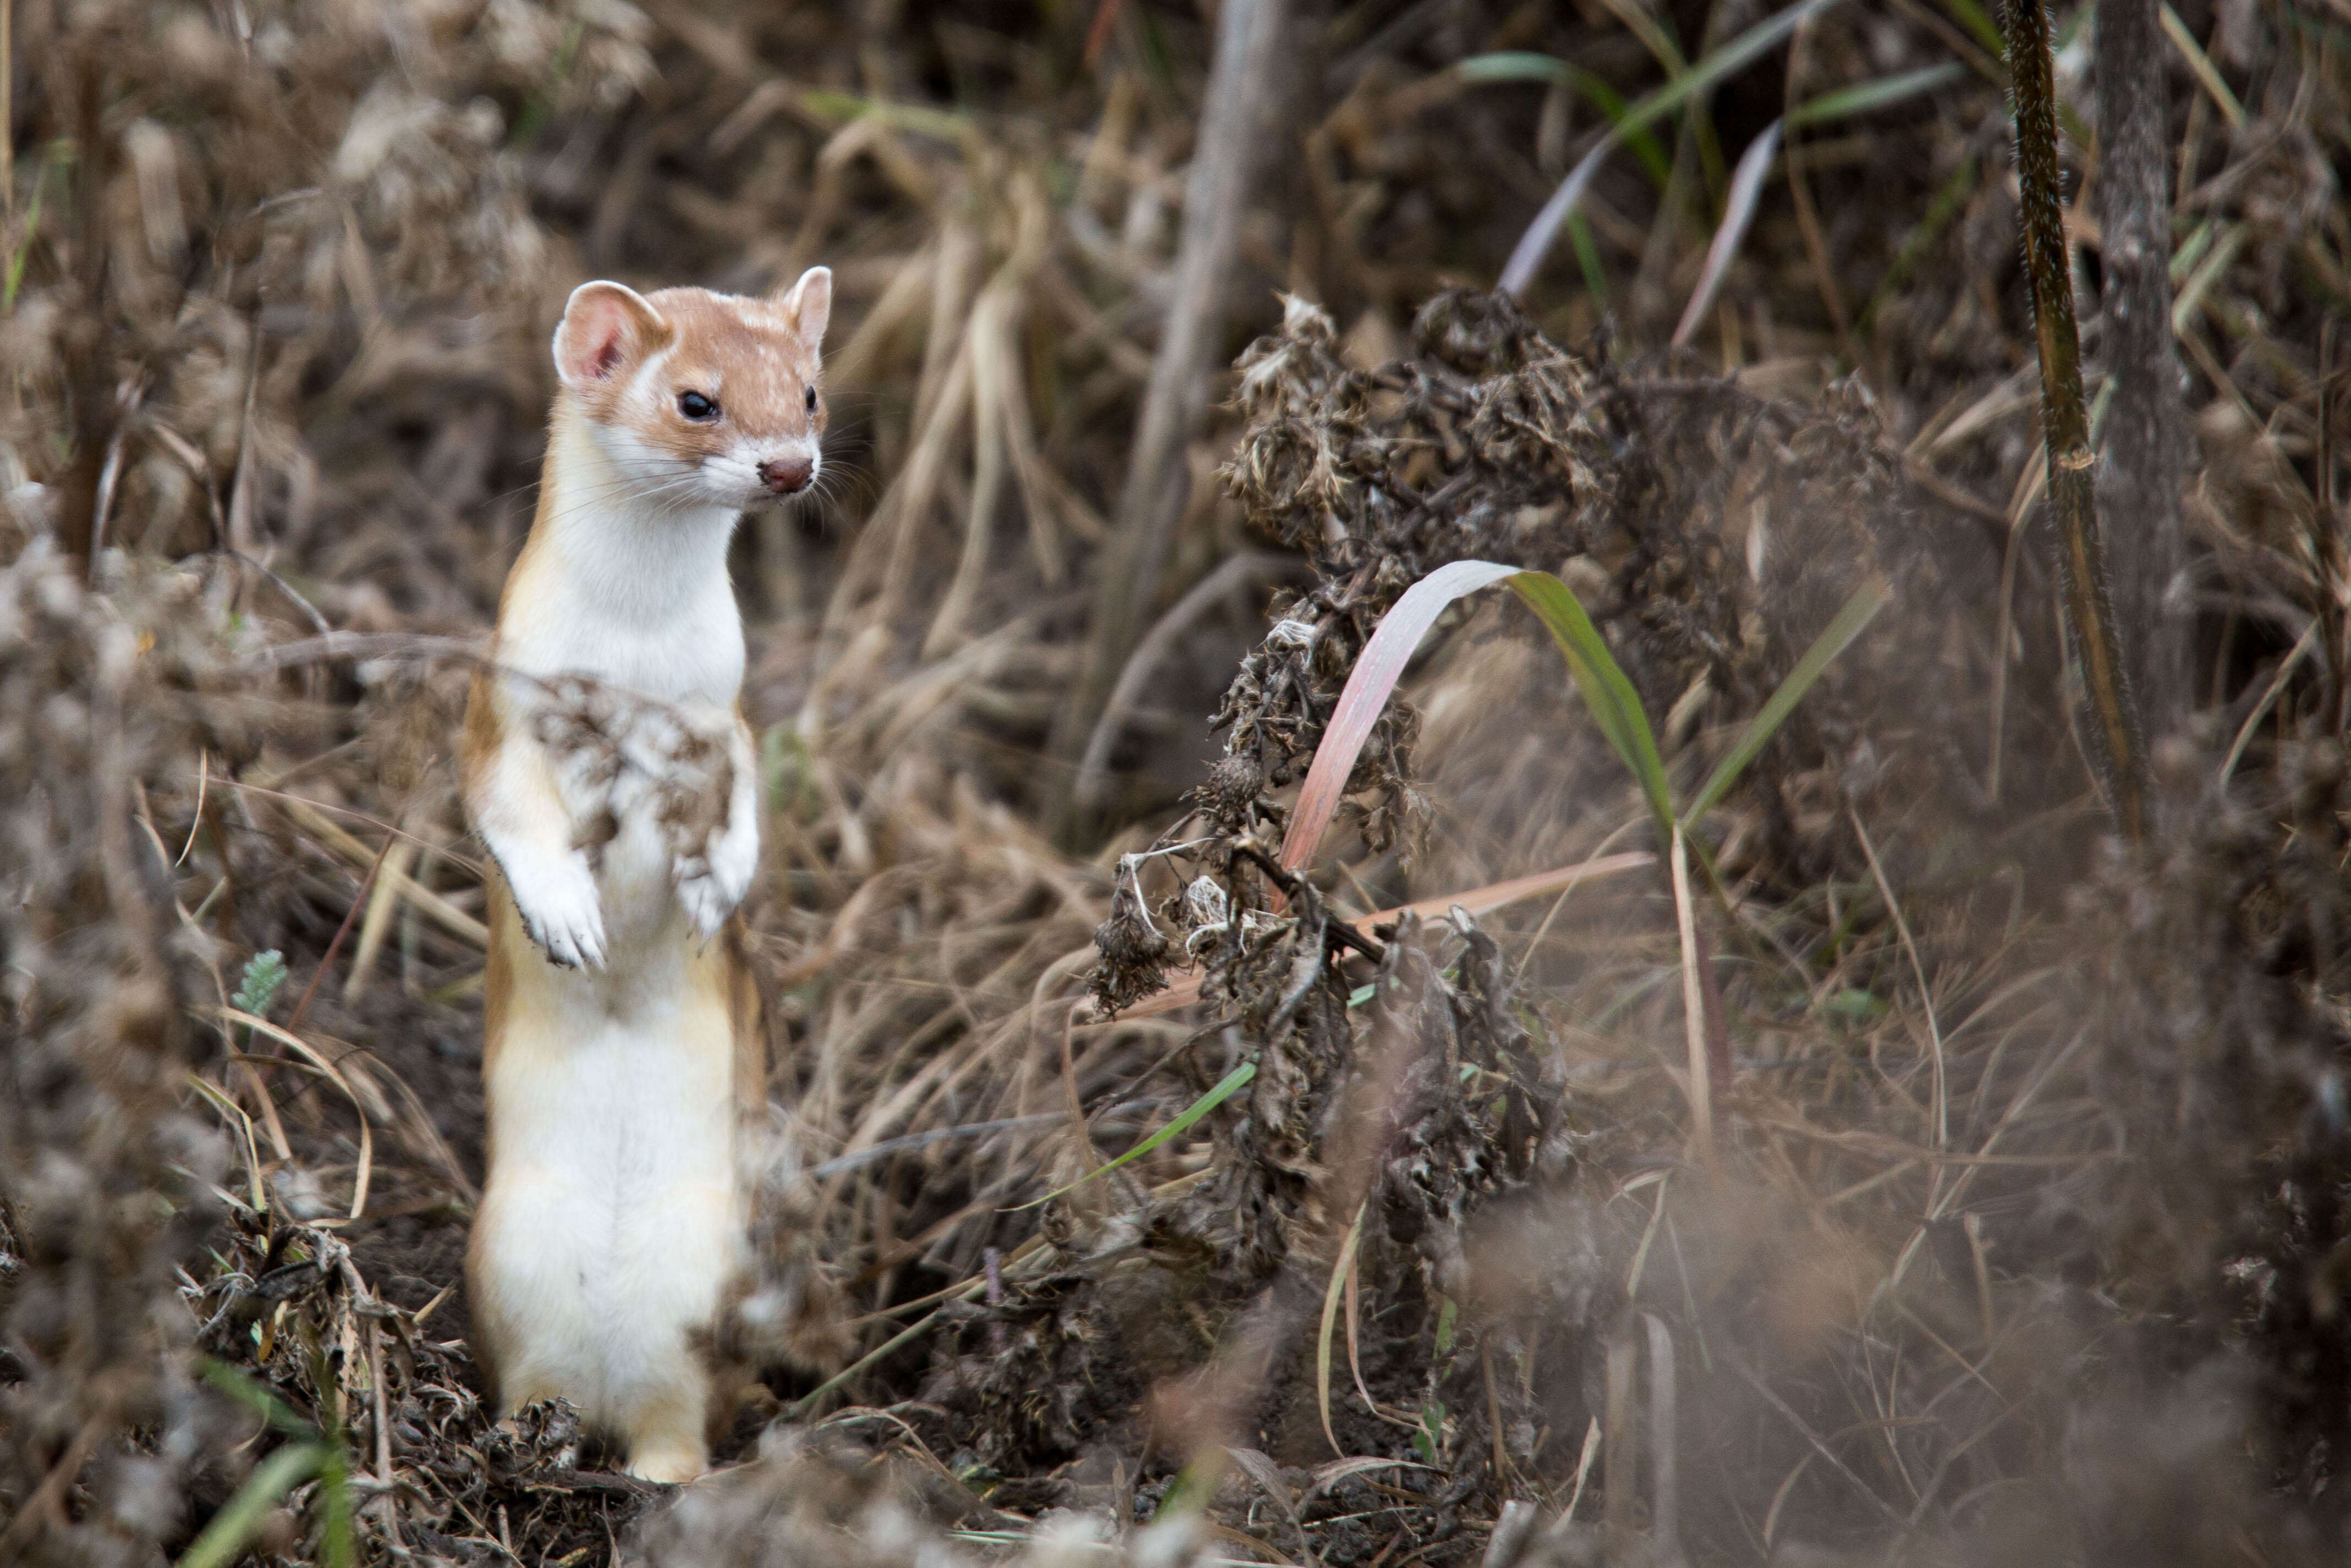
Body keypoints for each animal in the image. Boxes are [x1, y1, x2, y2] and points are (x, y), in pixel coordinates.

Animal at [458, 270, 827, 1486]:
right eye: (696, 399)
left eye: (808, 389)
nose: (789, 466)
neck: (633, 660)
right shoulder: (500, 710)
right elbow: (507, 814)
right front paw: (568, 915)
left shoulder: (723, 712)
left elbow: (749, 797)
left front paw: (716, 887)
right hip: (505, 1246)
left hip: (707, 1264)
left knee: (681, 1420)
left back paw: (659, 1473)